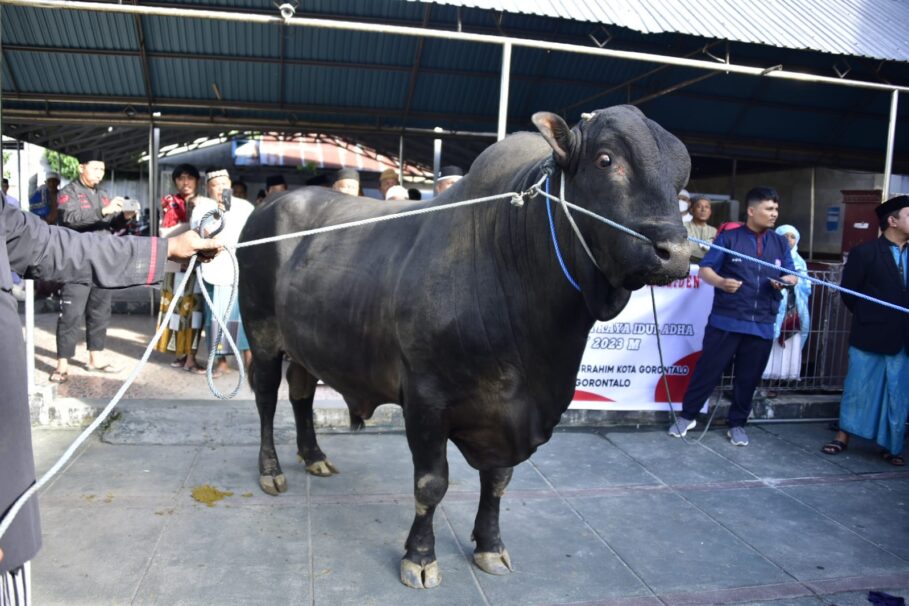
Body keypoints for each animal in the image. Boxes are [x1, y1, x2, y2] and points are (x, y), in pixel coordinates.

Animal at [234, 104, 688, 588]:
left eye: (683, 174)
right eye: (606, 160)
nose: (675, 253)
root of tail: (271, 206)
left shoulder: (509, 414)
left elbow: (498, 481)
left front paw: (490, 546)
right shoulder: (426, 400)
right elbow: (431, 483)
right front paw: (419, 556)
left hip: (305, 343)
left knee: (301, 394)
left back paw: (314, 456)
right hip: (262, 333)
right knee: (266, 400)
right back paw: (271, 471)